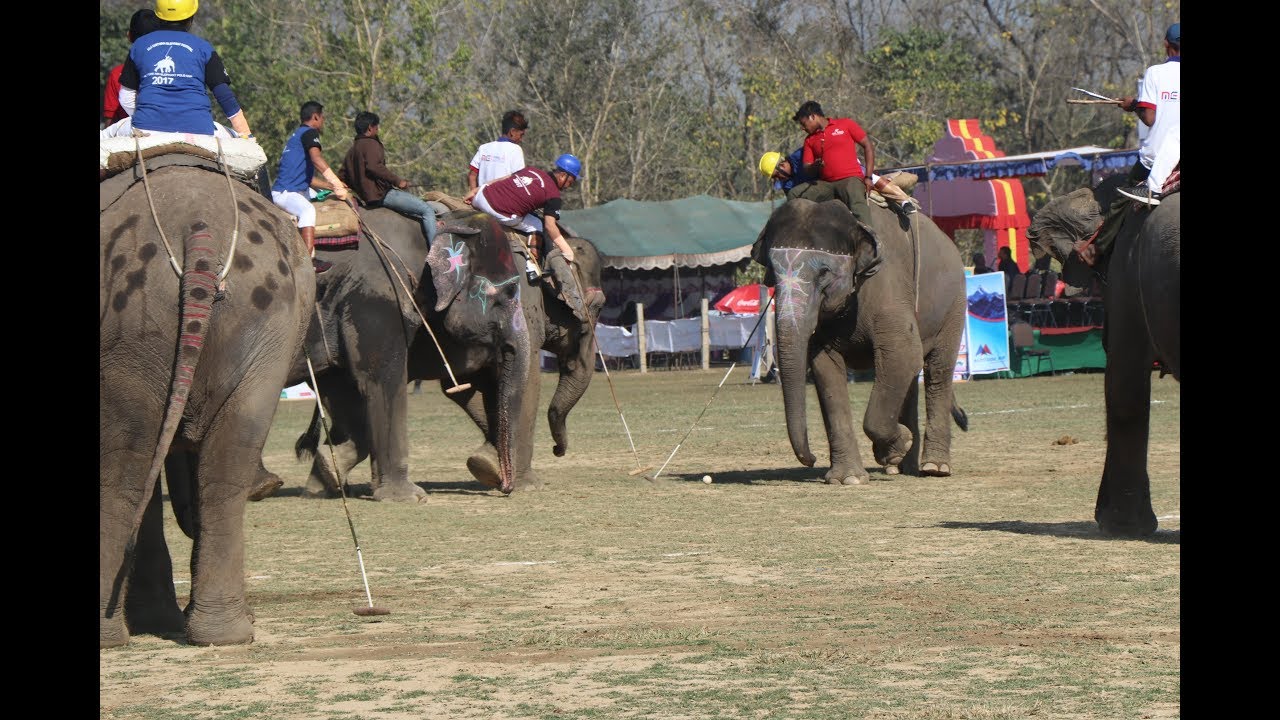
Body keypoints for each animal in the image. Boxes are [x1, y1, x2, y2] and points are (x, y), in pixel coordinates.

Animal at [101, 163, 315, 647]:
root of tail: (199, 228)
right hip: (268, 322)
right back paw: (224, 633)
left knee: (130, 467)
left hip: (134, 323)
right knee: (224, 463)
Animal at [256, 206, 532, 501]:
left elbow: (343, 391)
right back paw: (264, 485)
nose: (504, 486)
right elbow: (382, 380)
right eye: (509, 292)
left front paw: (323, 481)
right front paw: (409, 497)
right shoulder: (378, 300)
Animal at [751, 197, 969, 484]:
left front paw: (895, 447)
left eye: (823, 273)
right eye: (772, 276)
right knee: (909, 378)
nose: (812, 459)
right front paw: (848, 479)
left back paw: (935, 467)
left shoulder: (886, 285)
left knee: (938, 371)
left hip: (954, 302)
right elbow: (825, 369)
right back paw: (902, 468)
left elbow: (903, 352)